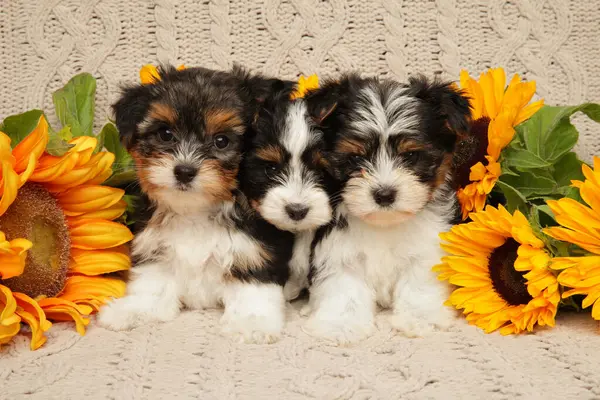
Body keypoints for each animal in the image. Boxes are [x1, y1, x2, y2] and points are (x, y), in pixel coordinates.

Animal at [96, 65, 296, 344]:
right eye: (165, 134)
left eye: (221, 141)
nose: (184, 171)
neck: (196, 209)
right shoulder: (155, 245)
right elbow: (152, 282)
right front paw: (135, 309)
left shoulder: (255, 249)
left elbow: (253, 288)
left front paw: (251, 322)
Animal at [302, 74, 472, 344]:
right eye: (355, 158)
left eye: (411, 156)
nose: (384, 194)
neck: (384, 222)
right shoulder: (338, 250)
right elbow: (343, 287)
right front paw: (341, 324)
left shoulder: (426, 249)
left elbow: (419, 282)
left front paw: (419, 317)